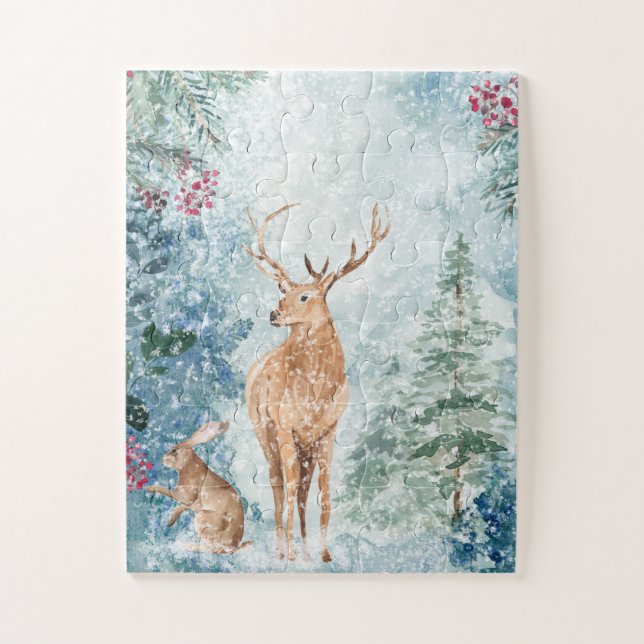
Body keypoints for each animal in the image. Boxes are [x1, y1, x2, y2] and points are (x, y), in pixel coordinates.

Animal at [243, 203, 391, 562]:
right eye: (284, 294)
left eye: (305, 296)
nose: (274, 314)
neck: (316, 391)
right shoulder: (286, 428)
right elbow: (290, 487)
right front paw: (292, 554)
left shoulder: (327, 432)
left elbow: (322, 491)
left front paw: (323, 553)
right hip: (263, 430)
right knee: (277, 485)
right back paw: (282, 551)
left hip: (304, 445)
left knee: (301, 491)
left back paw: (306, 550)